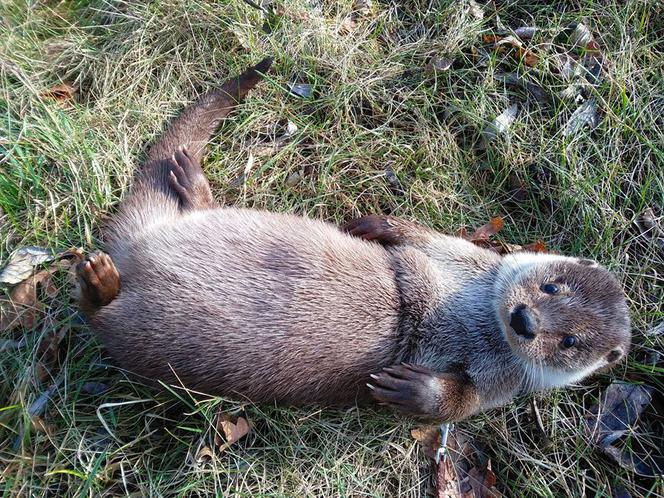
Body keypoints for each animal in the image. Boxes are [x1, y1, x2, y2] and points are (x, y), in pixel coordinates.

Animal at [75, 58, 632, 420]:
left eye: (571, 341)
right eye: (551, 285)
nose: (525, 321)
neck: (481, 318)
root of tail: (134, 251)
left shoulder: (508, 385)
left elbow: (460, 405)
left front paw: (414, 390)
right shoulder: (470, 257)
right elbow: (425, 238)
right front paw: (379, 225)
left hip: (140, 338)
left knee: (97, 315)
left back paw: (99, 276)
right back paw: (183, 186)